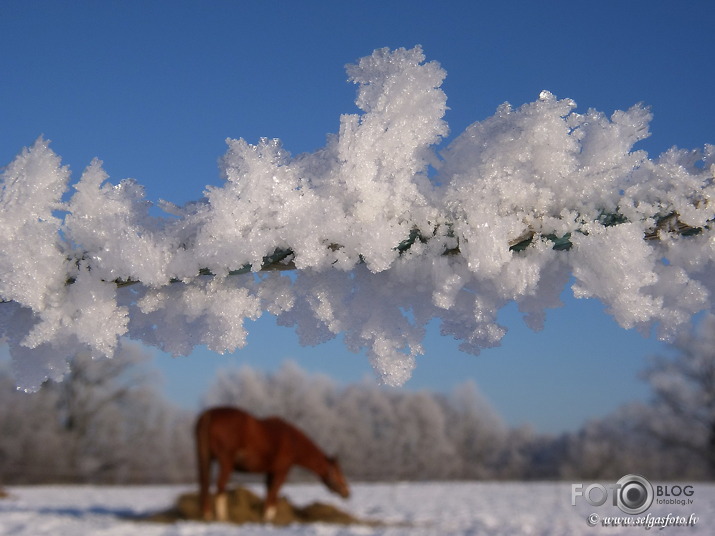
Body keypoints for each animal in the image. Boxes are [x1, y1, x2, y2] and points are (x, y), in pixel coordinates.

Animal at [193, 406, 350, 520]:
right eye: (338, 473)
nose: (347, 493)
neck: (293, 442)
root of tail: (209, 414)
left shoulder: (270, 472)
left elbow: (268, 492)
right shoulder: (281, 471)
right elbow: (273, 494)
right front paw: (269, 518)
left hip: (205, 458)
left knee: (204, 484)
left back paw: (207, 515)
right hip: (226, 462)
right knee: (220, 486)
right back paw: (222, 518)